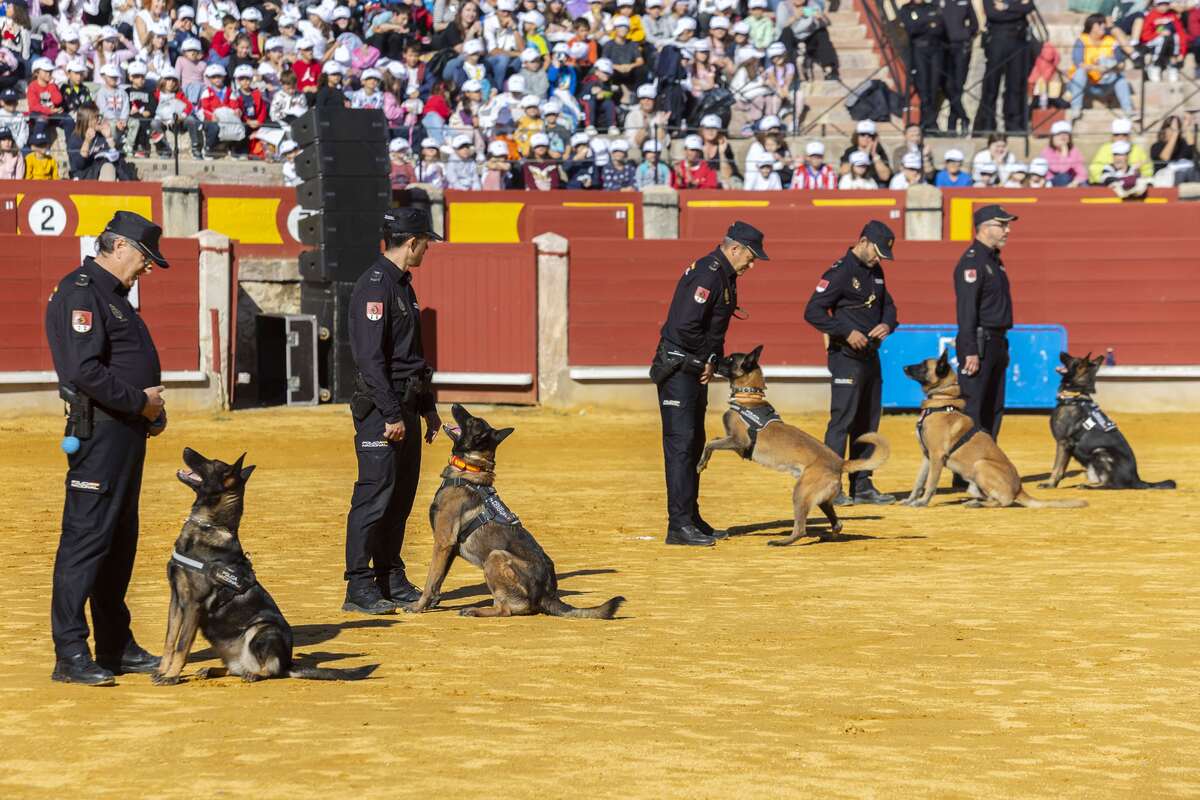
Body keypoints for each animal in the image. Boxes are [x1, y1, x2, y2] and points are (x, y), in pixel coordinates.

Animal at [153, 448, 374, 686]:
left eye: (211, 462)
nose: (185, 449)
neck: (209, 526)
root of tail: (289, 664)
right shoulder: (176, 601)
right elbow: (169, 642)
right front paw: (163, 670)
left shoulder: (194, 604)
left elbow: (182, 646)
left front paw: (172, 676)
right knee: (234, 669)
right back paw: (212, 670)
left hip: (263, 629)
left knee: (270, 670)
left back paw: (255, 674)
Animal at [405, 407, 628, 618]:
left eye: (472, 421)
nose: (455, 404)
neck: (470, 468)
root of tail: (548, 594)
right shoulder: (449, 549)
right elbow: (438, 580)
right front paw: (430, 603)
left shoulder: (443, 542)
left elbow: (430, 580)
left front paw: (418, 606)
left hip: (495, 556)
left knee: (505, 609)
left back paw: (475, 610)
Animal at [696, 347, 892, 546]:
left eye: (729, 359)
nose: (712, 358)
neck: (749, 397)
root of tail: (840, 463)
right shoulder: (735, 444)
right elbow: (714, 439)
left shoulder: (739, 442)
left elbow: (710, 443)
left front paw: (701, 463)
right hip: (821, 500)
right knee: (837, 524)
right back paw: (827, 537)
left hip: (800, 493)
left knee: (801, 529)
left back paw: (782, 542)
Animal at [902, 352, 1089, 510]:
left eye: (923, 365)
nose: (904, 367)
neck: (942, 402)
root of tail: (1019, 488)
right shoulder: (927, 456)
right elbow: (918, 482)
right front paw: (910, 500)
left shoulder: (936, 456)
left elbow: (930, 484)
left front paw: (922, 502)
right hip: (974, 483)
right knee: (992, 498)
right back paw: (975, 502)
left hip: (981, 464)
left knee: (1004, 501)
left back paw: (978, 504)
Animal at [1041, 352, 1180, 491]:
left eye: (1074, 360)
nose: (1061, 352)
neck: (1076, 394)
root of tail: (1137, 479)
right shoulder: (1066, 447)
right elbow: (1061, 469)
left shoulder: (1063, 443)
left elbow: (1057, 468)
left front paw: (1049, 484)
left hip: (1101, 453)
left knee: (1111, 485)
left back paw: (1088, 486)